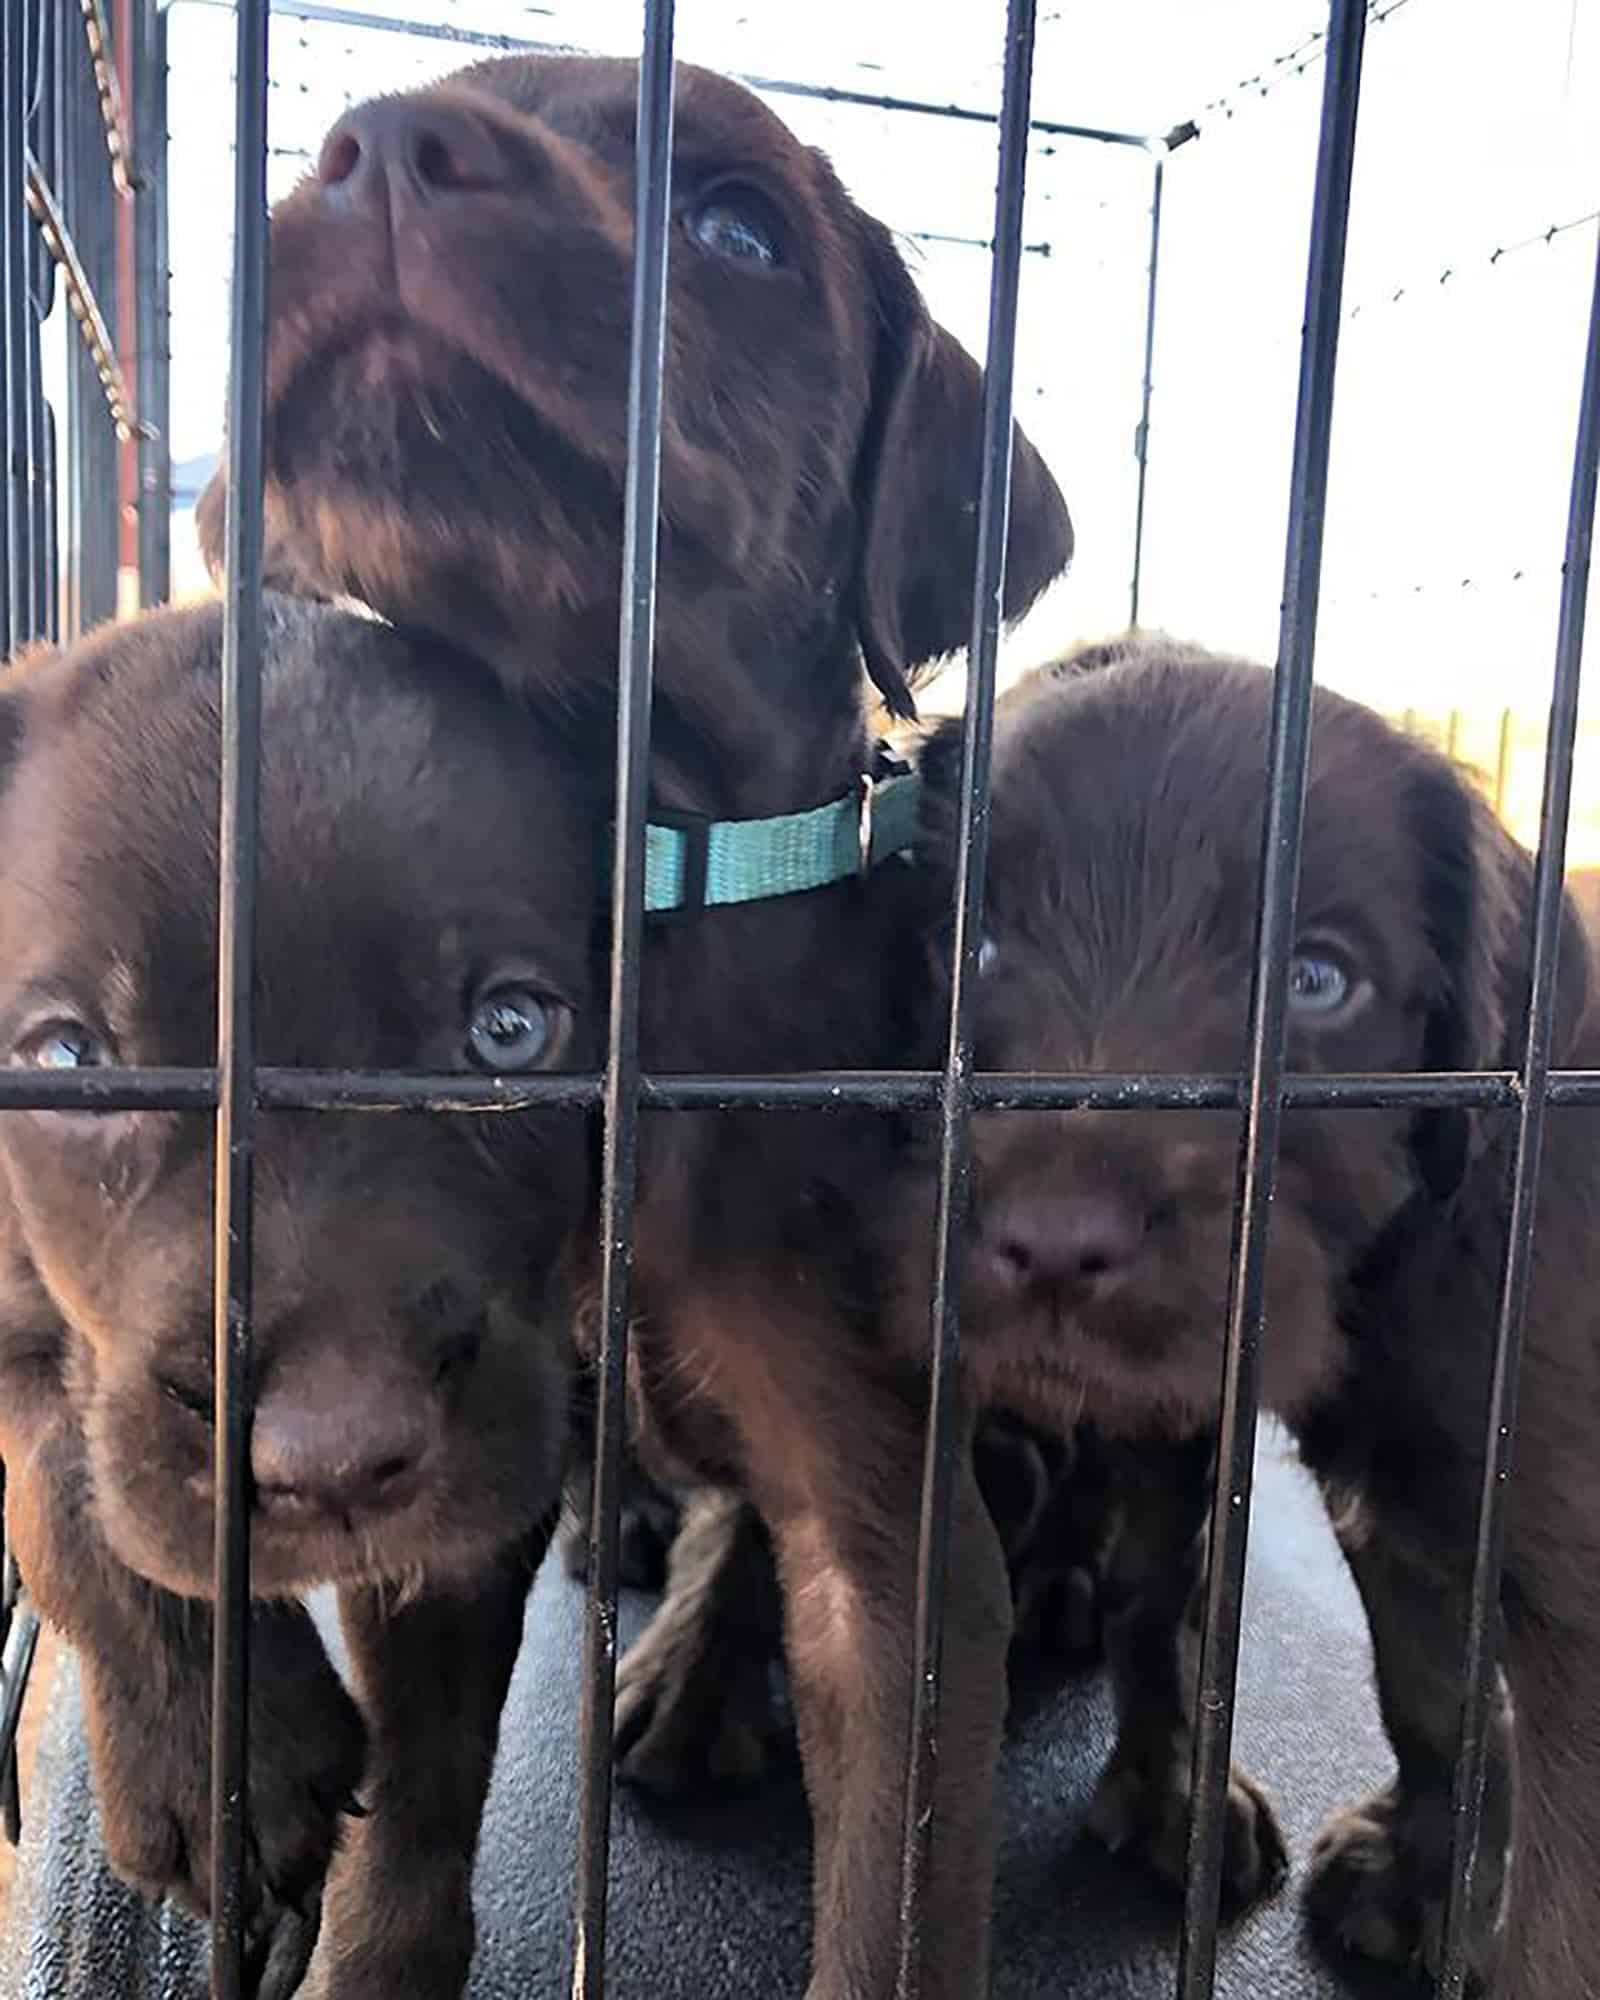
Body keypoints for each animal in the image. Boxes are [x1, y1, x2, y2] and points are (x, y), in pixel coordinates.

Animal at [0, 596, 596, 2000]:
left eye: (509, 1029)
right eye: (68, 1057)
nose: (328, 1459)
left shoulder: (480, 1487)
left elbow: (434, 1742)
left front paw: (376, 1952)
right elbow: (65, 1483)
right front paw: (220, 1760)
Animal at [203, 47, 1072, 2000]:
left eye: (740, 232)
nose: (382, 149)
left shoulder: (900, 1552)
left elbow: (889, 1910)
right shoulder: (417, 1439)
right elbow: (412, 1812)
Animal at [892, 640, 1592, 2000]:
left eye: (1317, 982)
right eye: (973, 942)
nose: (1053, 1241)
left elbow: (1562, 1896)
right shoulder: (1375, 1492)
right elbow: (1406, 1680)